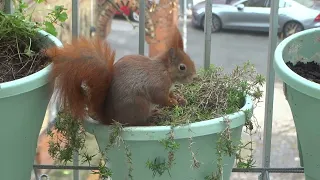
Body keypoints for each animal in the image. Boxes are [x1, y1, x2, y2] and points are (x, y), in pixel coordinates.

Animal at [46, 26, 196, 126]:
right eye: (182, 67)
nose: (194, 76)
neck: (165, 70)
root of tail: (111, 118)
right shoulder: (158, 84)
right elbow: (161, 98)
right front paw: (173, 103)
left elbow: (170, 94)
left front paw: (178, 98)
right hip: (139, 104)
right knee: (136, 123)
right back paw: (151, 117)